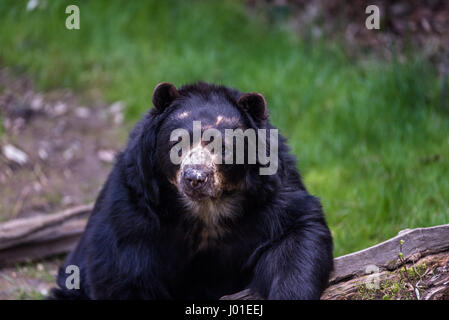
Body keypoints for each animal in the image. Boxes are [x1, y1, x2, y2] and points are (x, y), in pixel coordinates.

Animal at [50, 81, 334, 298]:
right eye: (177, 143)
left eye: (223, 147)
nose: (195, 178)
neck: (207, 209)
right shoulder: (134, 205)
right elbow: (122, 270)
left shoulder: (272, 197)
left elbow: (294, 240)